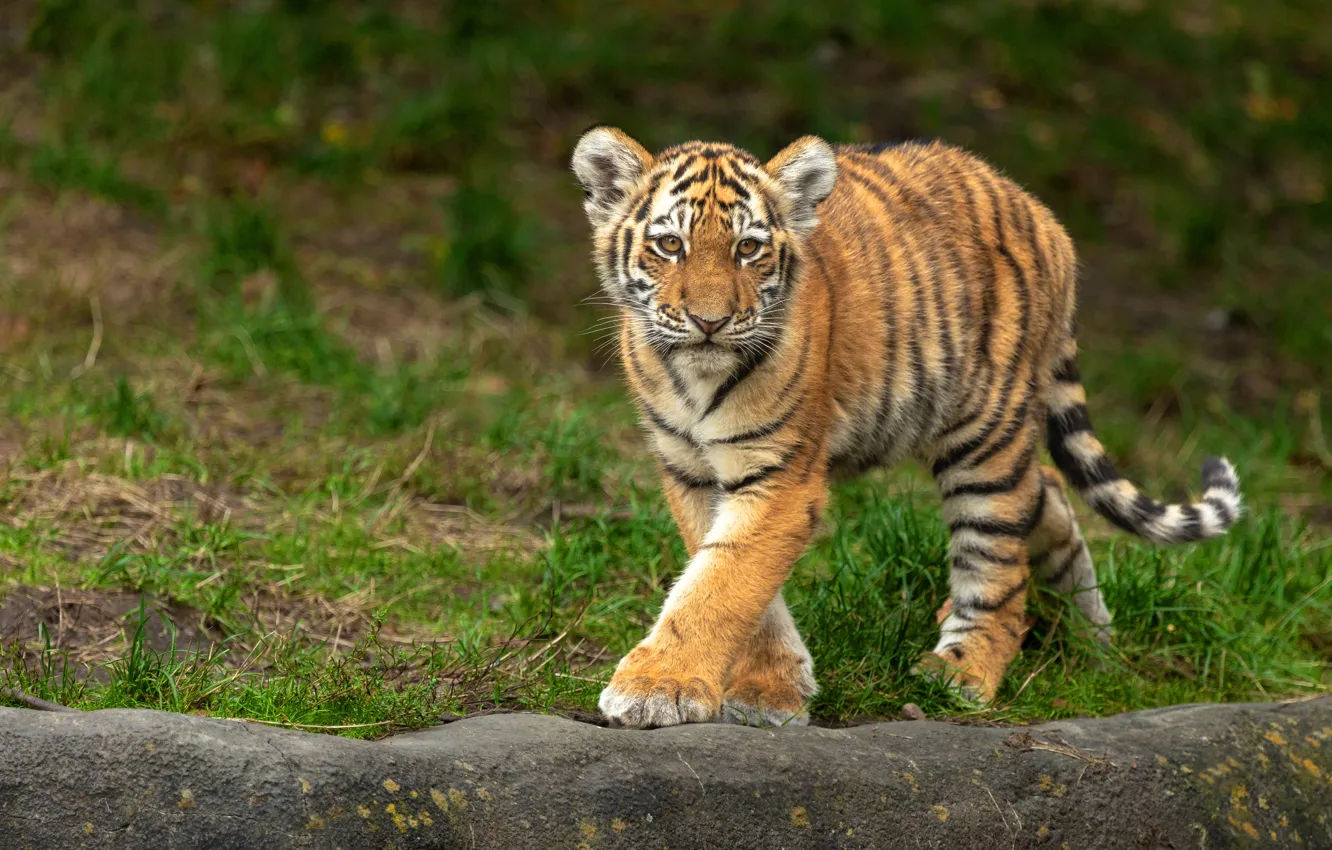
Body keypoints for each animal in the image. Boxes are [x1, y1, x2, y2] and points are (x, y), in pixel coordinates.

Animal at [570, 126, 1243, 729]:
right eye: (670, 245)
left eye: (748, 249)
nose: (709, 322)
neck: (693, 376)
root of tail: (1040, 213)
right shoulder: (690, 469)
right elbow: (730, 578)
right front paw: (773, 689)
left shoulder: (781, 474)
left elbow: (721, 584)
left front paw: (657, 688)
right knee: (1048, 490)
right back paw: (1091, 636)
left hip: (984, 436)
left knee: (1000, 564)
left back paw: (963, 671)